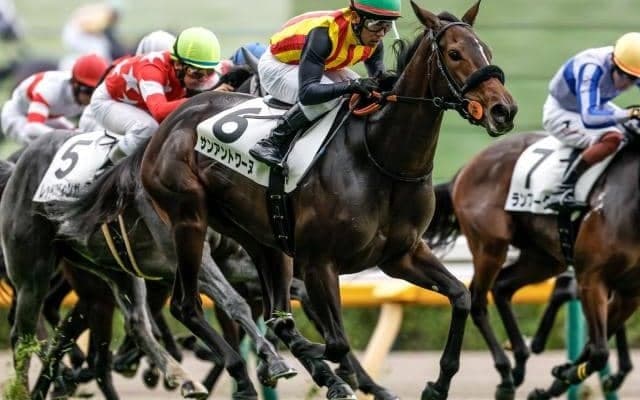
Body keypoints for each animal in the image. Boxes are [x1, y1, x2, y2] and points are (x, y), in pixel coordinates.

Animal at [0, 130, 298, 400]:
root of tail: (18, 164)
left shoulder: (230, 259)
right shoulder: (194, 255)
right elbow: (234, 302)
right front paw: (272, 361)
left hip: (115, 269)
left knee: (136, 324)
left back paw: (183, 377)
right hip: (33, 275)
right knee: (23, 335)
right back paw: (28, 390)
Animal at [114, 1, 516, 399]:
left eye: (487, 51)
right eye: (454, 53)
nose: (504, 110)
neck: (379, 157)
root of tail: (171, 120)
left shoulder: (401, 255)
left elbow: (460, 296)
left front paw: (437, 384)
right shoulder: (319, 262)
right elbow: (336, 341)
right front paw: (317, 361)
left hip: (257, 236)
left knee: (269, 308)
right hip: (188, 220)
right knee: (187, 306)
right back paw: (239, 372)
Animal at [423, 126, 640, 399]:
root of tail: (465, 170)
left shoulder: (629, 293)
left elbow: (594, 345)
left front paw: (558, 379)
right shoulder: (592, 278)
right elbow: (599, 349)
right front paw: (568, 374)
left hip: (544, 257)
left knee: (503, 286)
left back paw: (520, 359)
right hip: (490, 246)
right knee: (478, 300)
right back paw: (505, 374)